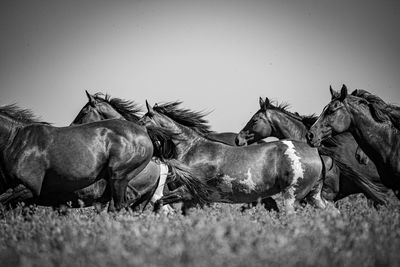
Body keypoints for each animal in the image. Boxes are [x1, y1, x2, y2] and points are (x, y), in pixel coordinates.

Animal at [0, 104, 155, 211]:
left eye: (84, 112)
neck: (16, 140)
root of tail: (143, 131)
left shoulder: (27, 189)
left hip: (119, 177)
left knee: (118, 206)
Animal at [140, 101, 332, 215]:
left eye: (142, 122)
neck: (192, 149)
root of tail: (315, 152)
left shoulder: (188, 192)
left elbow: (160, 204)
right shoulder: (194, 199)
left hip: (292, 195)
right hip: (313, 195)